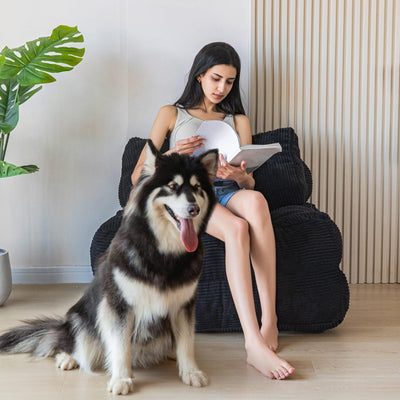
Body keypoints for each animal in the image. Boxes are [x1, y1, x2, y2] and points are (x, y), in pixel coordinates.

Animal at [0, 140, 219, 394]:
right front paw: (122, 378)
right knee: (68, 341)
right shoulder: (118, 305)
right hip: (81, 318)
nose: (193, 209)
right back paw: (67, 357)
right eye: (172, 186)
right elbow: (120, 345)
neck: (162, 252)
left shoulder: (184, 305)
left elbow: (186, 341)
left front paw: (190, 371)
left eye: (196, 188)